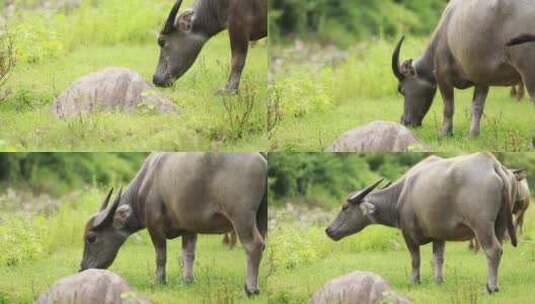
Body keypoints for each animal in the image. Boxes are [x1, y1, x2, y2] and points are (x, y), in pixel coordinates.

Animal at [79, 153, 268, 296]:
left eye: (91, 238)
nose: (83, 268)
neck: (147, 182)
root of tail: (262, 161)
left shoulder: (155, 227)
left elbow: (161, 256)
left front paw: (159, 280)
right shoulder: (189, 228)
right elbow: (188, 254)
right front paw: (187, 280)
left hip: (242, 218)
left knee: (254, 245)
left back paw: (250, 289)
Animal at [324, 153, 520, 294]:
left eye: (345, 207)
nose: (328, 230)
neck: (401, 194)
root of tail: (493, 164)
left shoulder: (408, 234)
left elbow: (415, 259)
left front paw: (414, 281)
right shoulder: (439, 234)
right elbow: (438, 258)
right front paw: (438, 281)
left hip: (482, 225)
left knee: (493, 250)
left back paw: (491, 287)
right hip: (500, 225)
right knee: (499, 249)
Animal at [392, 0, 535, 137]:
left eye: (402, 90)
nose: (404, 121)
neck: (444, 32)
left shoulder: (442, 75)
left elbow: (448, 106)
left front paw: (445, 133)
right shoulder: (482, 78)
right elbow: (477, 106)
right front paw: (473, 134)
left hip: (528, 72)